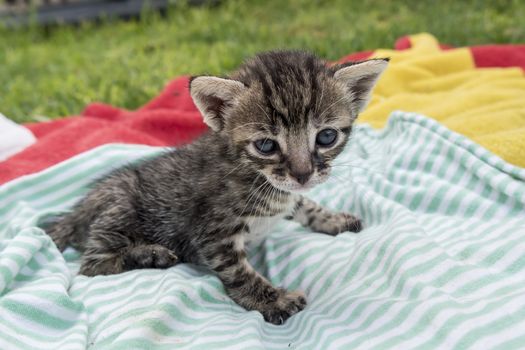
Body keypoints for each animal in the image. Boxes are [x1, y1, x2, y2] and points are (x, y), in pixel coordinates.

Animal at [47, 50, 386, 324]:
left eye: (326, 136)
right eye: (266, 145)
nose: (303, 175)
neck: (256, 175)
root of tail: (84, 205)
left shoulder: (287, 193)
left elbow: (306, 205)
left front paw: (332, 218)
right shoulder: (212, 231)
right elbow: (240, 272)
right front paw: (275, 300)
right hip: (120, 212)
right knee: (91, 265)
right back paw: (150, 255)